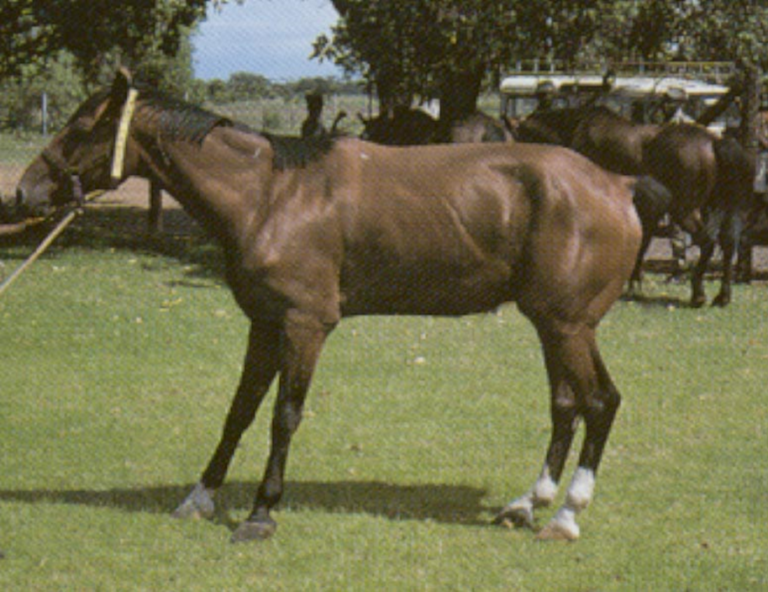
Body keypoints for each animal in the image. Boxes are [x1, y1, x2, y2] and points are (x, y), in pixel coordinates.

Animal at [12, 68, 640, 540]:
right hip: (555, 325)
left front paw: (261, 513)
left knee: (601, 402)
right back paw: (528, 503)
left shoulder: (304, 325)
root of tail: (618, 186)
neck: (272, 195)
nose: (24, 192)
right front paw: (199, 496)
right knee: (566, 404)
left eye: (81, 126)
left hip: (568, 325)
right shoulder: (264, 324)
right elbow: (240, 410)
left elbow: (283, 416)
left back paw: (566, 514)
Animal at [516, 106, 756, 308]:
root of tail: (714, 142)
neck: (577, 130)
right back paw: (722, 296)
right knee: (728, 243)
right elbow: (642, 241)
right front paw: (633, 281)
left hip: (685, 209)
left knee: (707, 242)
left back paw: (698, 293)